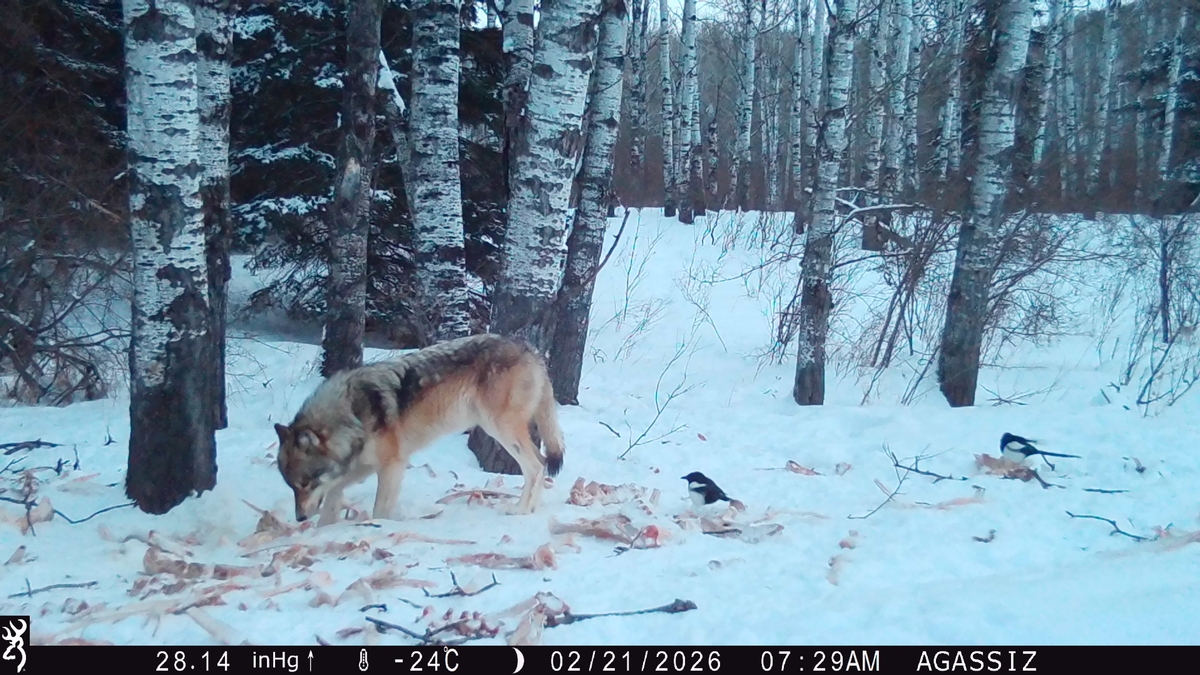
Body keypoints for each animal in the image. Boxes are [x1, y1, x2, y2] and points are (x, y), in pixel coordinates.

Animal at [274, 334, 565, 526]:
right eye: (292, 486)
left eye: (305, 483)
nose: (299, 518)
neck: (353, 416)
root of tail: (530, 349)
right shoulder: (363, 466)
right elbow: (334, 493)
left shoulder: (392, 464)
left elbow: (380, 509)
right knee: (541, 463)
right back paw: (531, 509)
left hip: (499, 429)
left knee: (536, 466)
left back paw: (520, 511)